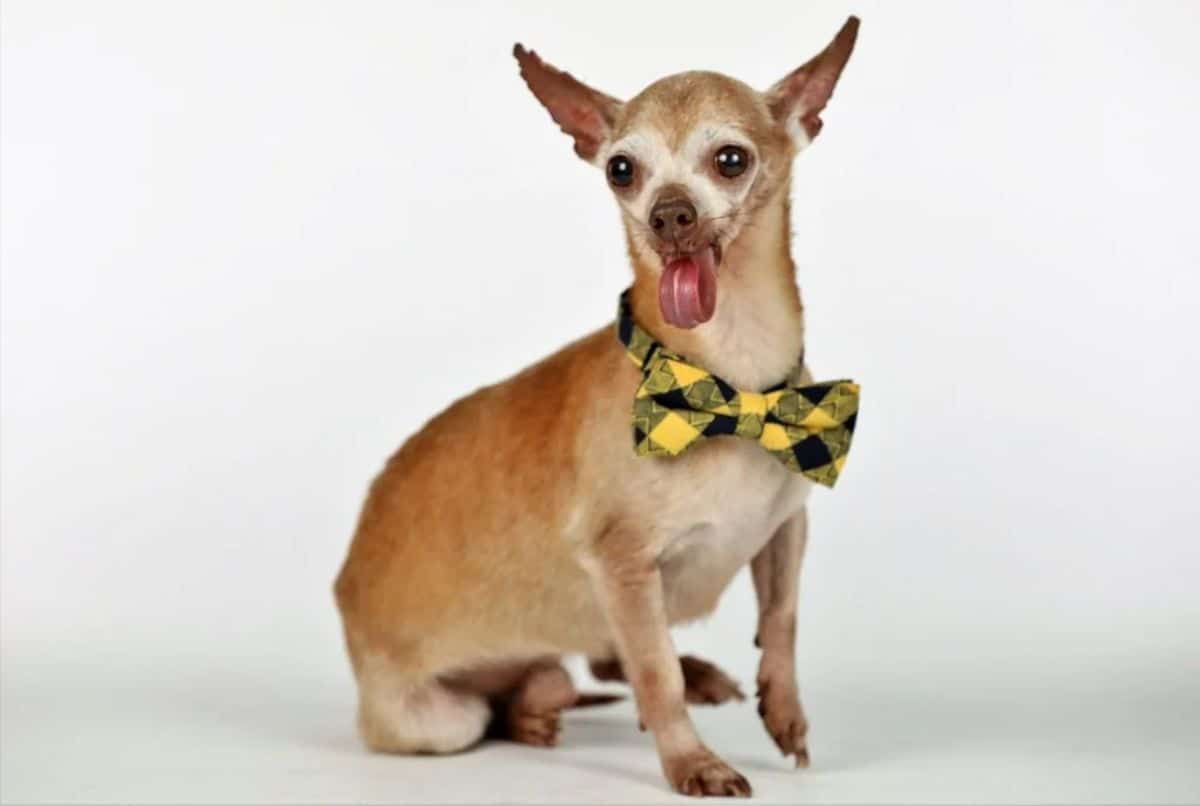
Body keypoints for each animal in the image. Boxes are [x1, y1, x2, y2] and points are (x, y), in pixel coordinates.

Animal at [336, 17, 864, 791]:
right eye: (621, 170)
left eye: (730, 159)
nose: (668, 215)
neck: (725, 387)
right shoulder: (622, 570)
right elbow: (654, 674)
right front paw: (692, 762)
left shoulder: (784, 530)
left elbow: (782, 624)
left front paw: (785, 711)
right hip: (440, 720)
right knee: (527, 699)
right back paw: (537, 716)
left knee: (581, 668)